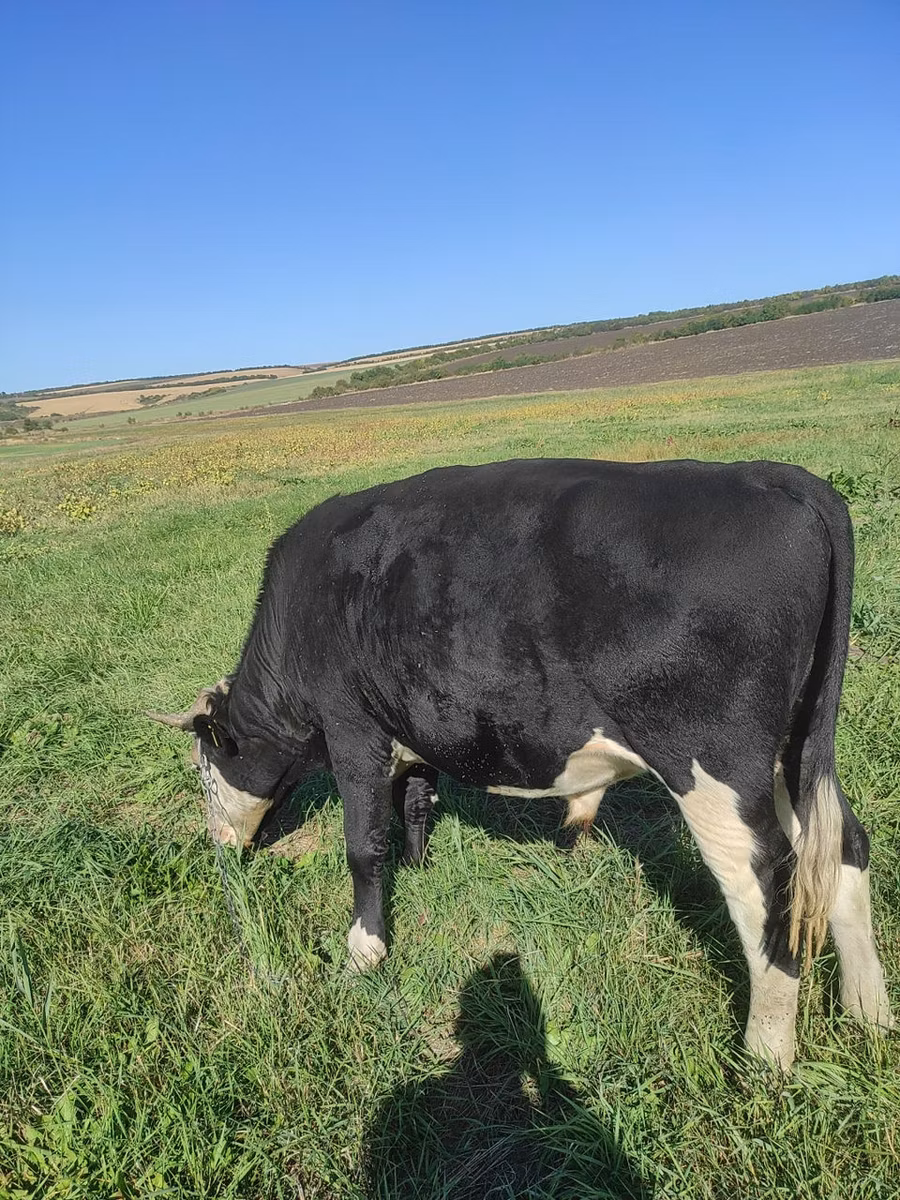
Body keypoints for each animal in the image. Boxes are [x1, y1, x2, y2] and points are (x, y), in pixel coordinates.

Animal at [150, 457, 893, 1070]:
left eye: (202, 770)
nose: (220, 846)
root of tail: (772, 475)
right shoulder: (410, 726)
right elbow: (414, 800)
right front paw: (421, 868)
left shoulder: (351, 726)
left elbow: (362, 845)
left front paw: (364, 950)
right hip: (795, 751)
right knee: (843, 847)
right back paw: (869, 1012)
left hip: (715, 766)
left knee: (767, 887)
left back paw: (766, 1055)